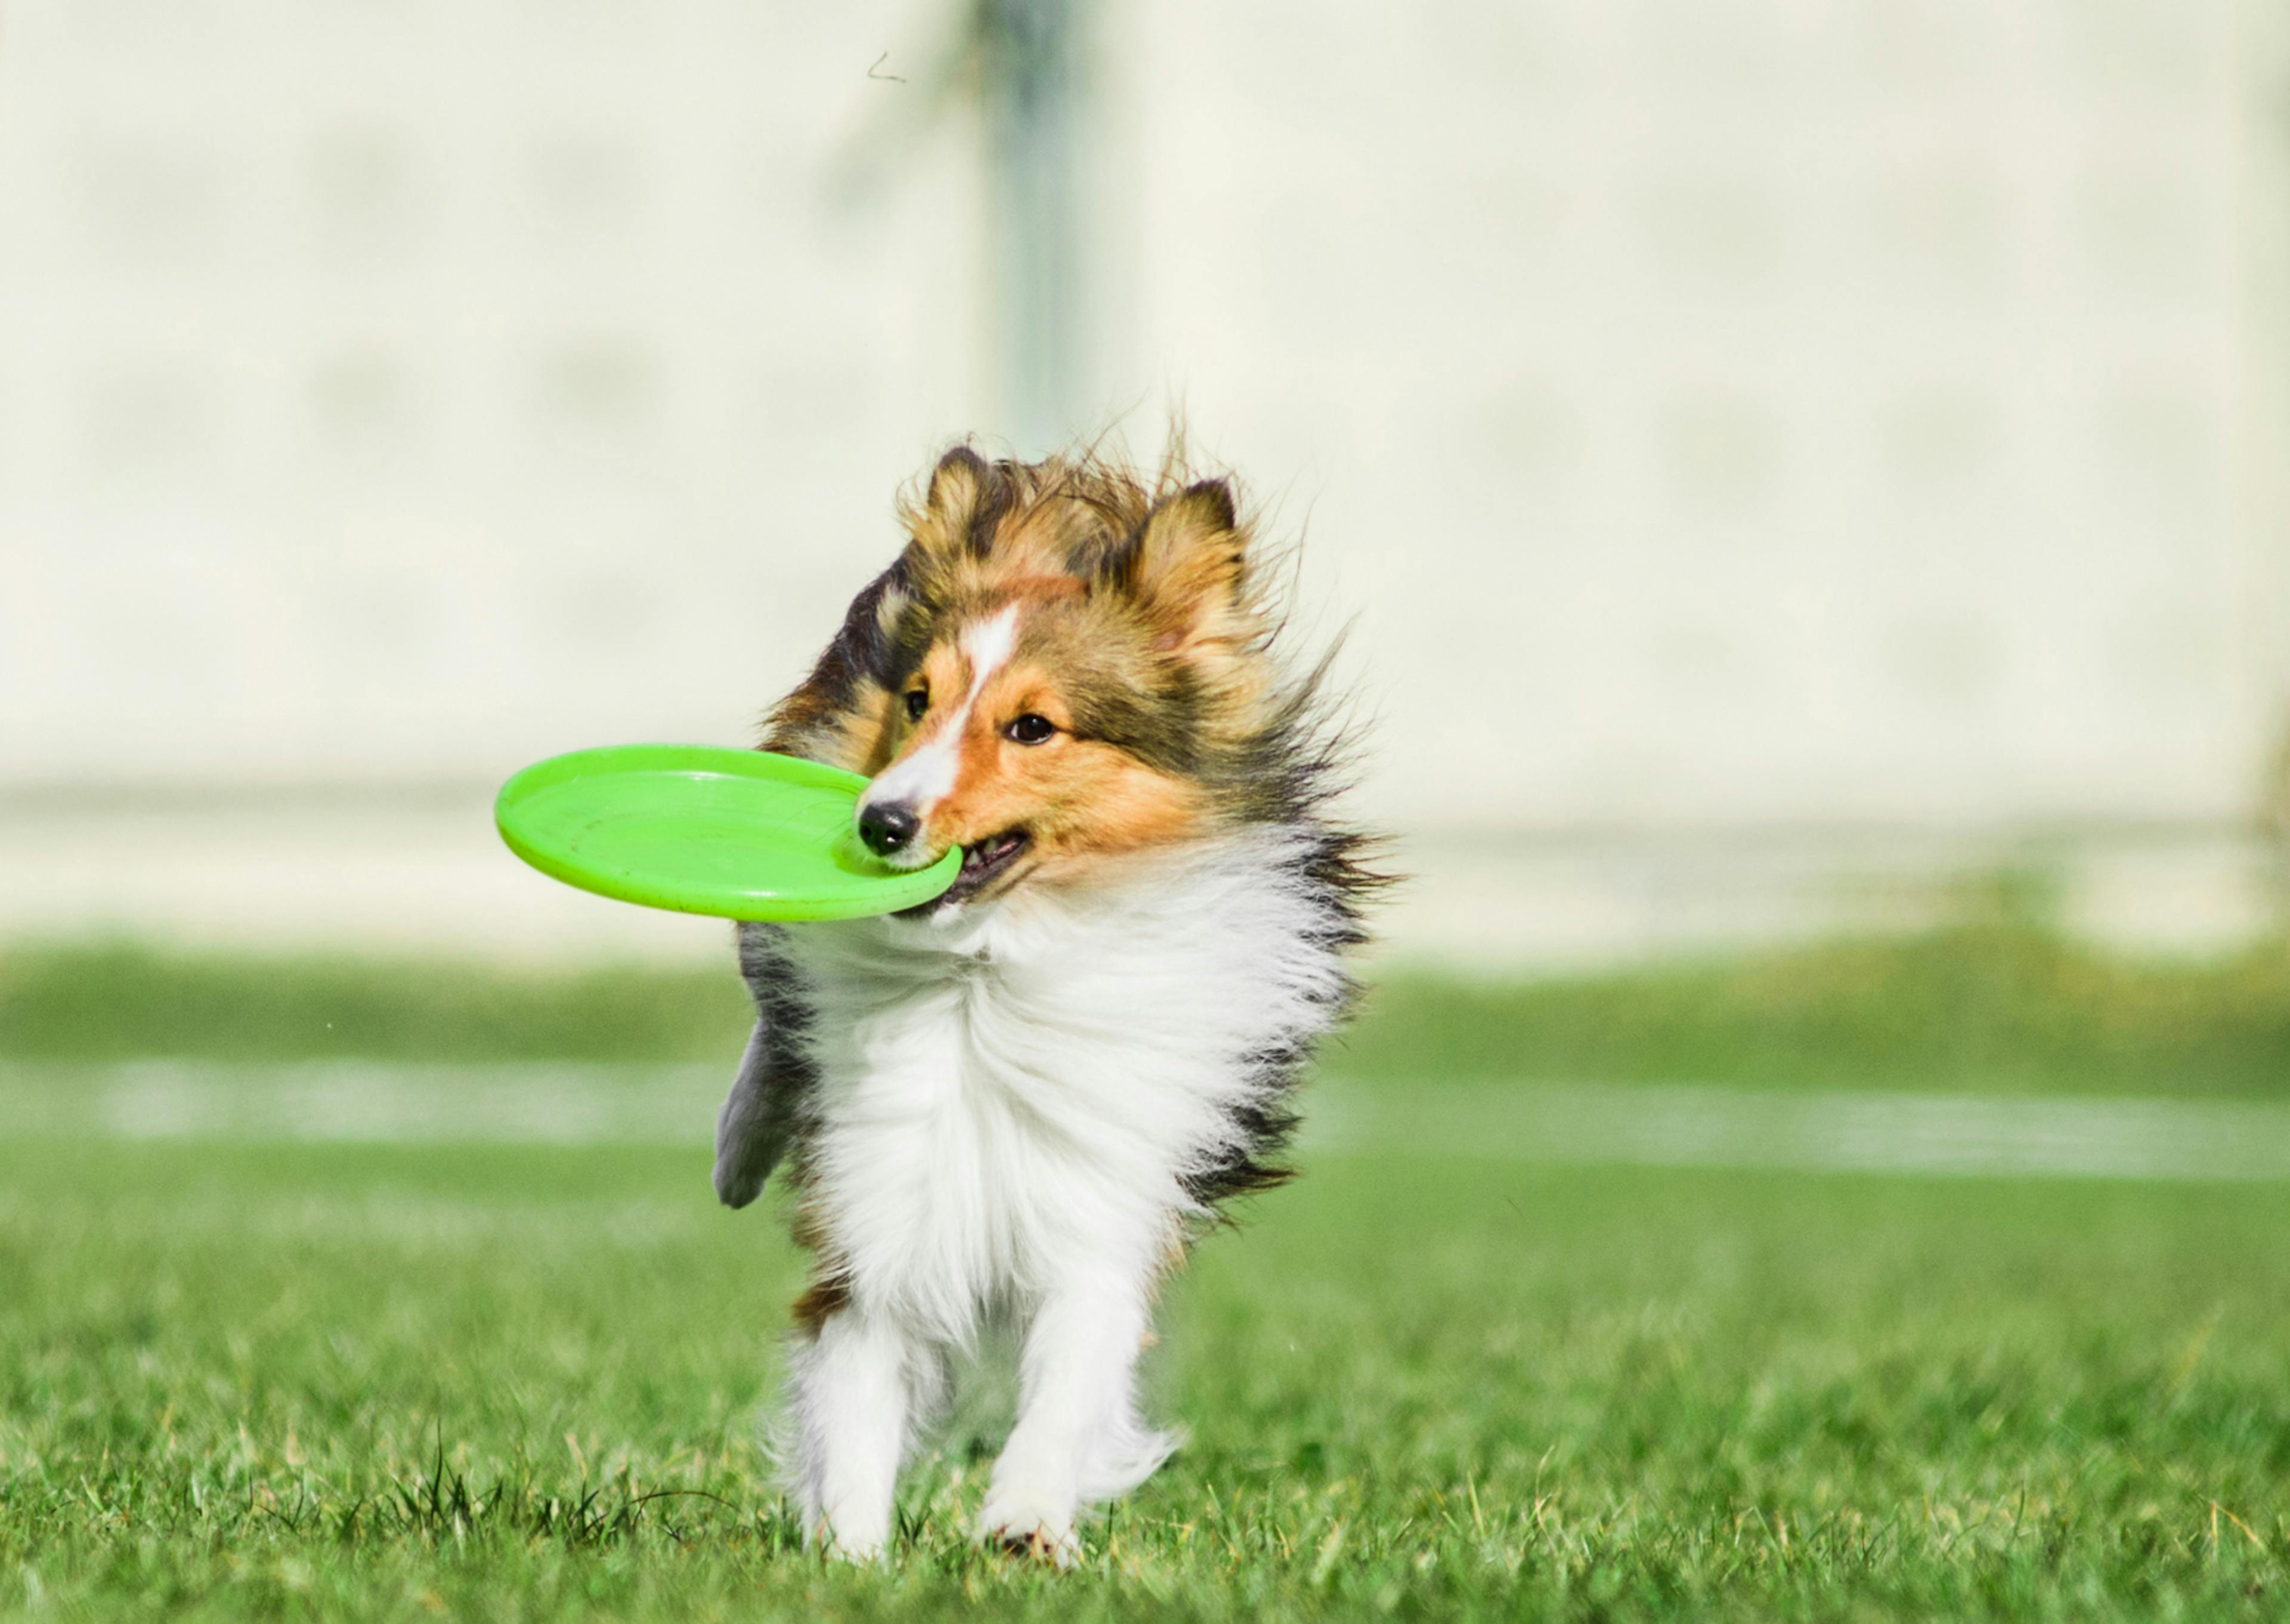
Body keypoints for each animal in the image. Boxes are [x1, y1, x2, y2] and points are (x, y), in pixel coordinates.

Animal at [705, 444, 1364, 1557]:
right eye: (917, 699)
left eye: (1032, 728)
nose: (879, 823)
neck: (989, 970)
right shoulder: (883, 1209)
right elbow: (856, 1394)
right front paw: (851, 1556)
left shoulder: (1103, 1199)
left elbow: (1071, 1371)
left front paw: (1025, 1517)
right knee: (772, 1008)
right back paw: (739, 1149)